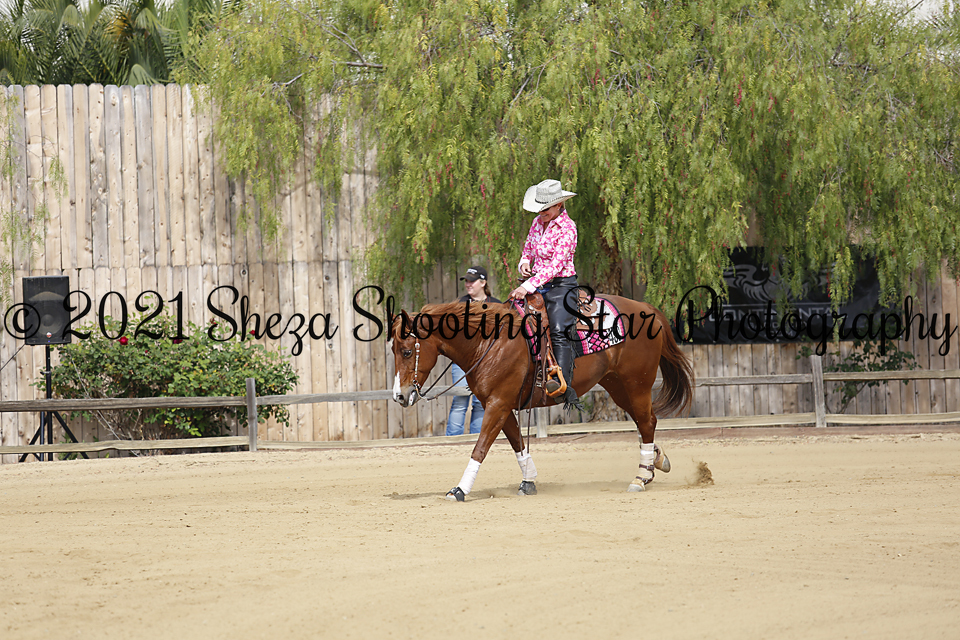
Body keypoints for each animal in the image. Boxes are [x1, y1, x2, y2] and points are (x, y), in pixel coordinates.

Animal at [389, 293, 694, 500]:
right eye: (393, 350)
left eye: (407, 351)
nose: (400, 396)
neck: (489, 342)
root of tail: (646, 308)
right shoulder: (498, 404)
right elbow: (518, 443)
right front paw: (529, 481)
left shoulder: (498, 404)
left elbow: (480, 447)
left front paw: (460, 489)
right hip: (617, 385)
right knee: (645, 422)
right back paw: (655, 462)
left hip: (636, 383)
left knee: (646, 421)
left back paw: (640, 477)